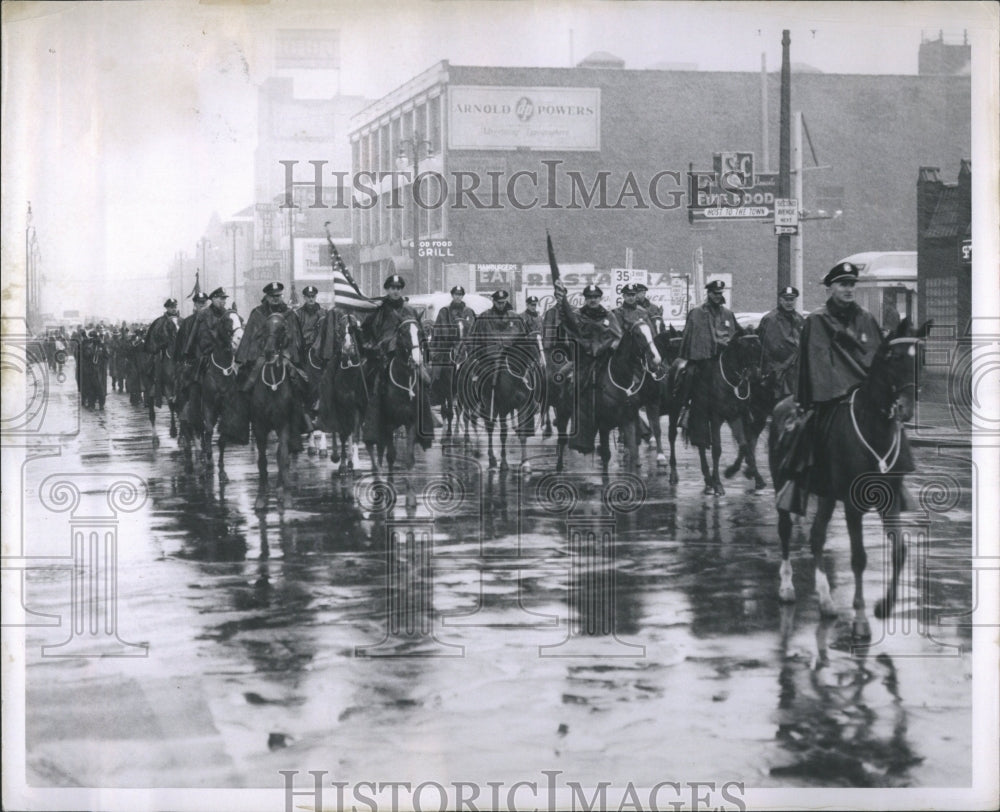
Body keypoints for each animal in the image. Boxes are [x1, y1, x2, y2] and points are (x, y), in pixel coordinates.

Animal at [247, 312, 300, 510]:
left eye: (282, 328)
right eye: (264, 326)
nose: (269, 351)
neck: (272, 385)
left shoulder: (284, 424)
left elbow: (283, 457)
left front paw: (286, 496)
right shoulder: (259, 426)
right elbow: (262, 460)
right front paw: (261, 498)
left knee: (280, 455)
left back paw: (279, 489)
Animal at [672, 332, 764, 494]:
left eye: (759, 349)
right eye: (745, 350)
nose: (756, 375)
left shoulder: (735, 416)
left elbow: (744, 445)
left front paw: (756, 478)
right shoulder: (716, 418)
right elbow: (717, 449)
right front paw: (719, 484)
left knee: (701, 446)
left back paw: (709, 480)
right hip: (679, 411)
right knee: (679, 439)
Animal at [772, 318, 928, 640]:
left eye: (920, 358)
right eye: (893, 358)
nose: (905, 409)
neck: (874, 427)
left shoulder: (890, 503)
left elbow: (899, 552)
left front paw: (884, 607)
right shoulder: (853, 506)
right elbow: (858, 558)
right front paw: (860, 619)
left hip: (827, 495)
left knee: (817, 537)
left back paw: (826, 601)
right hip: (783, 484)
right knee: (785, 532)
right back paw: (787, 588)